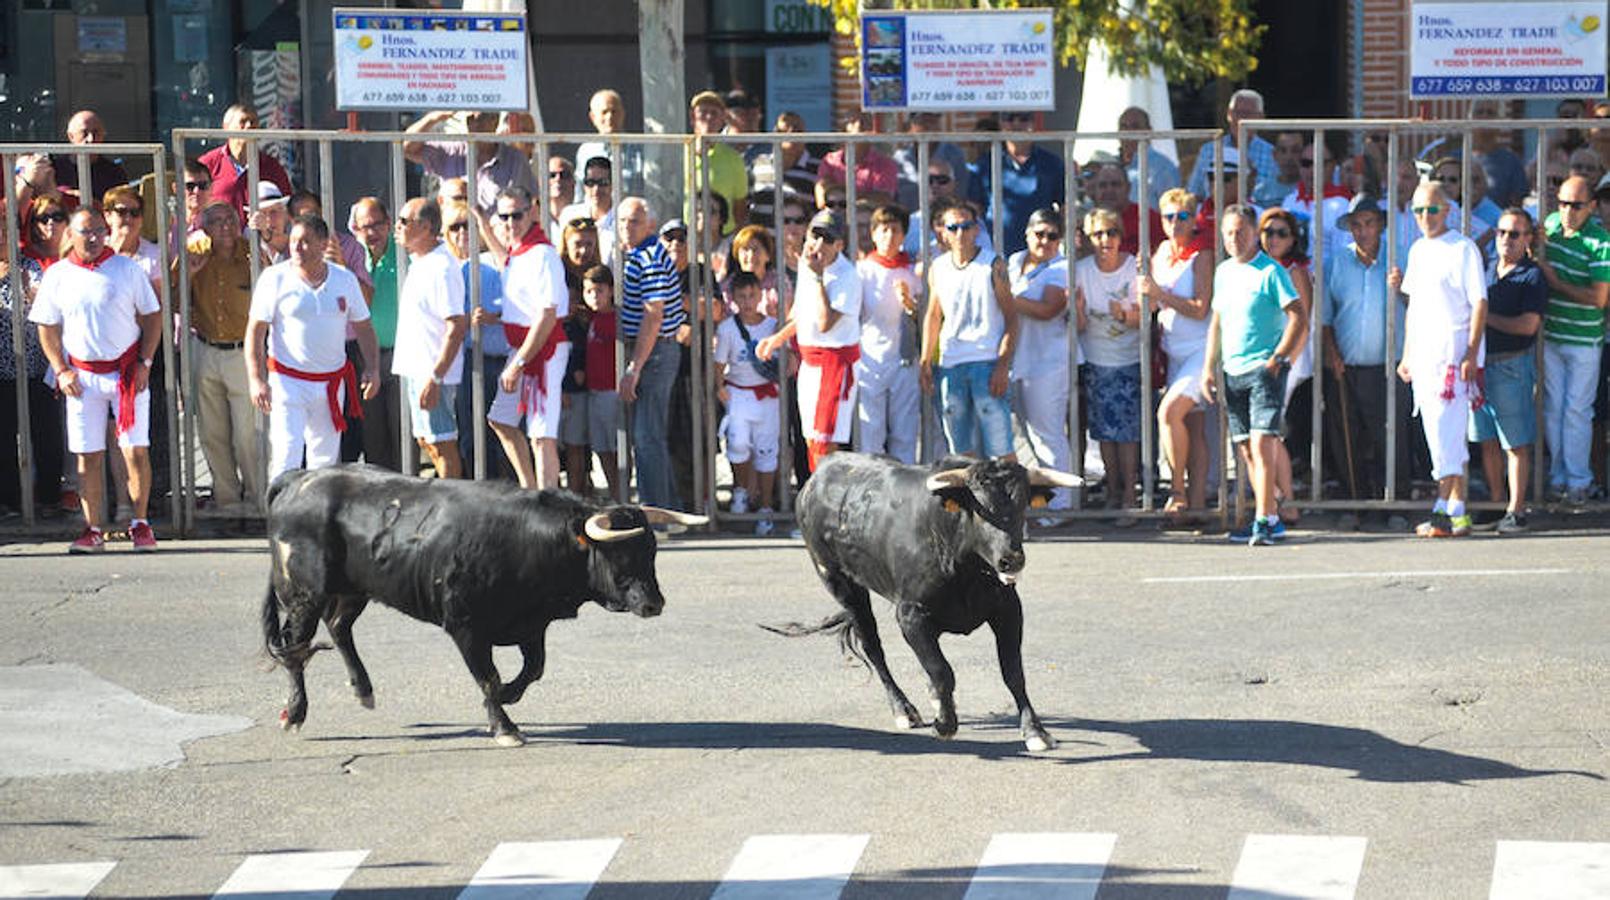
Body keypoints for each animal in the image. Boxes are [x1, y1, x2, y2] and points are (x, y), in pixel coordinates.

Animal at [260, 463, 701, 747]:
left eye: (651, 552)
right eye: (619, 555)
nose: (654, 604)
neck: (531, 542)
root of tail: (299, 478)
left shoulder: (531, 625)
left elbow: (534, 669)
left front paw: (508, 696)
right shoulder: (465, 627)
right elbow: (487, 676)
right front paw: (505, 726)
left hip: (354, 589)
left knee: (338, 627)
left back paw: (363, 690)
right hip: (303, 593)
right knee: (295, 649)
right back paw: (295, 713)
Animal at [766, 450, 1081, 753]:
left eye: (1022, 504)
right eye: (980, 509)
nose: (1011, 560)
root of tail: (816, 478)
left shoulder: (1008, 611)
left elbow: (1013, 672)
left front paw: (1036, 732)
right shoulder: (911, 616)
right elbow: (942, 671)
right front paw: (945, 724)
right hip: (841, 583)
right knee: (873, 647)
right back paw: (903, 709)